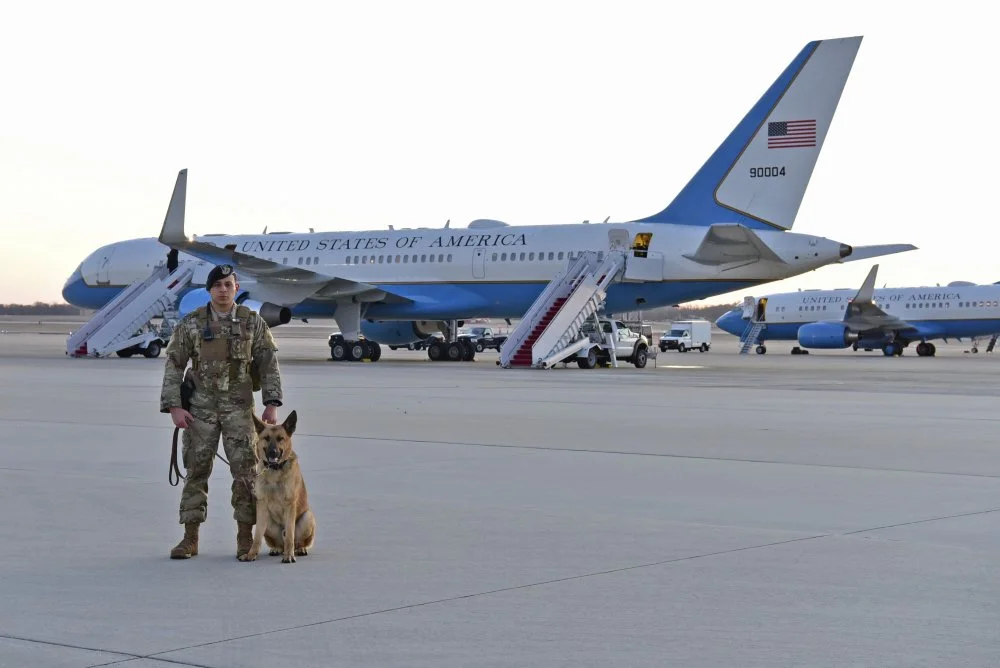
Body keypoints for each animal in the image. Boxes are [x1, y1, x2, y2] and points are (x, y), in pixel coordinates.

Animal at [239, 410, 314, 560]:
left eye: (280, 438)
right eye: (266, 438)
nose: (272, 452)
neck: (274, 470)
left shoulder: (290, 505)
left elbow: (290, 535)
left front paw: (289, 556)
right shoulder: (261, 505)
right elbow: (257, 536)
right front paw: (251, 554)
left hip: (307, 517)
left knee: (297, 541)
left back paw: (299, 549)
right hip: (268, 523)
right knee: (278, 543)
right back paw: (277, 549)